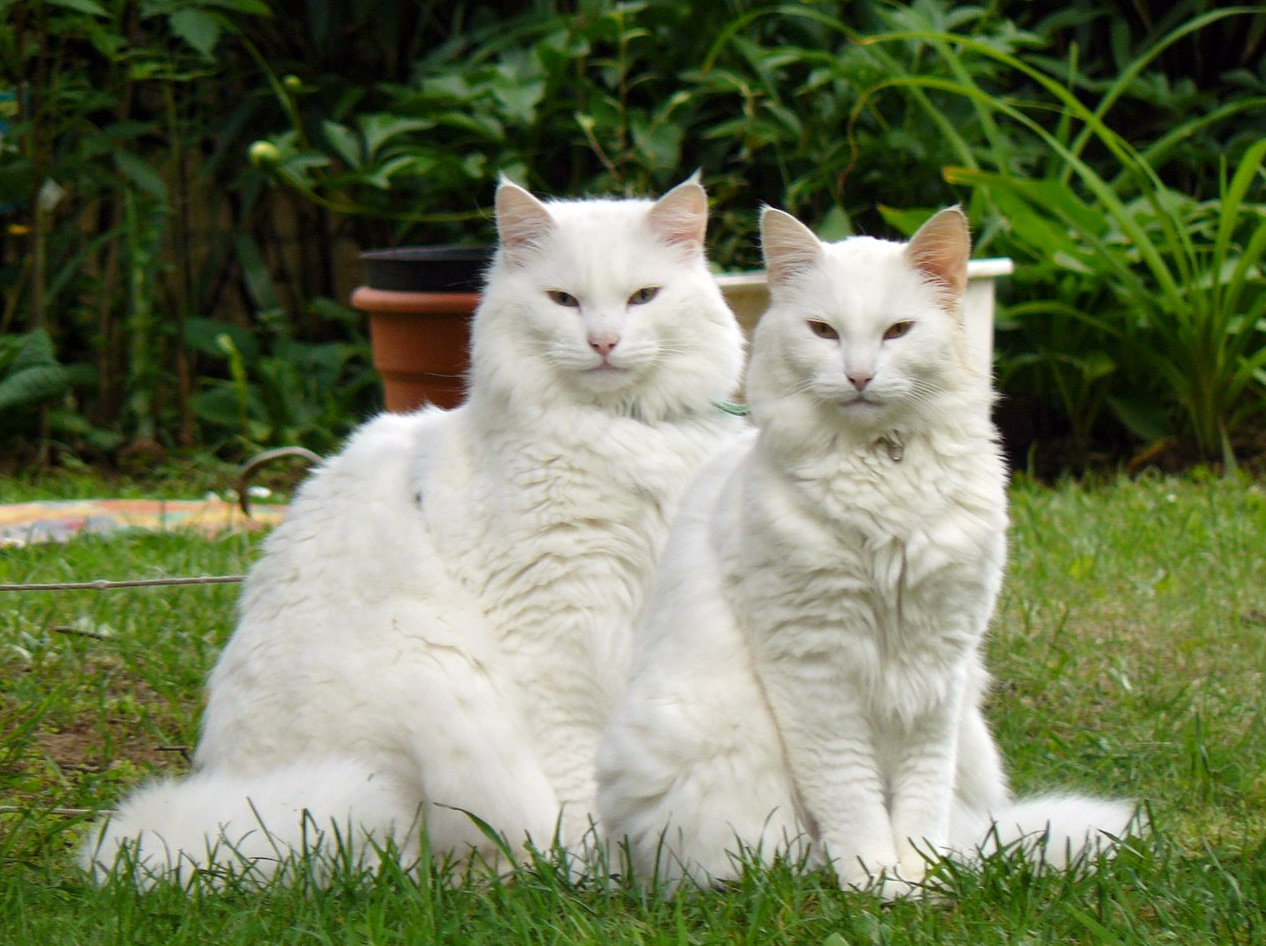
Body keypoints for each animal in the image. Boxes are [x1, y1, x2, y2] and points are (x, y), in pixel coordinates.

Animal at [84, 179, 744, 886]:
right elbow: (579, 768)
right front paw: (593, 868)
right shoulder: (555, 630)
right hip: (424, 675)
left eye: (642, 297)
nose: (603, 342)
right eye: (563, 300)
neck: (616, 430)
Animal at [597, 205, 1144, 896]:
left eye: (898, 331)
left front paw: (923, 876)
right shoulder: (815, 663)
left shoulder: (937, 664)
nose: (858, 376)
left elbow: (920, 795)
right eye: (824, 331)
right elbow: (849, 793)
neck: (881, 470)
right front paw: (873, 882)